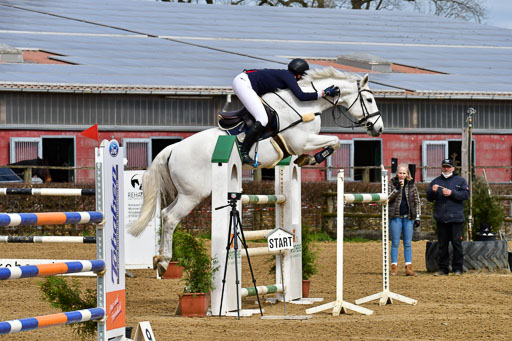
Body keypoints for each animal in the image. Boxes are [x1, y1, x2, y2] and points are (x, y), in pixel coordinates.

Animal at [130, 67, 382, 274]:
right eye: (369, 99)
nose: (378, 128)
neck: (303, 106)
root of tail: (172, 149)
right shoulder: (302, 141)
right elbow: (336, 140)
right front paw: (313, 158)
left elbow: (334, 141)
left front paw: (307, 159)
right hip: (193, 194)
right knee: (171, 218)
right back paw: (164, 262)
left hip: (186, 193)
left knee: (164, 214)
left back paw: (159, 260)